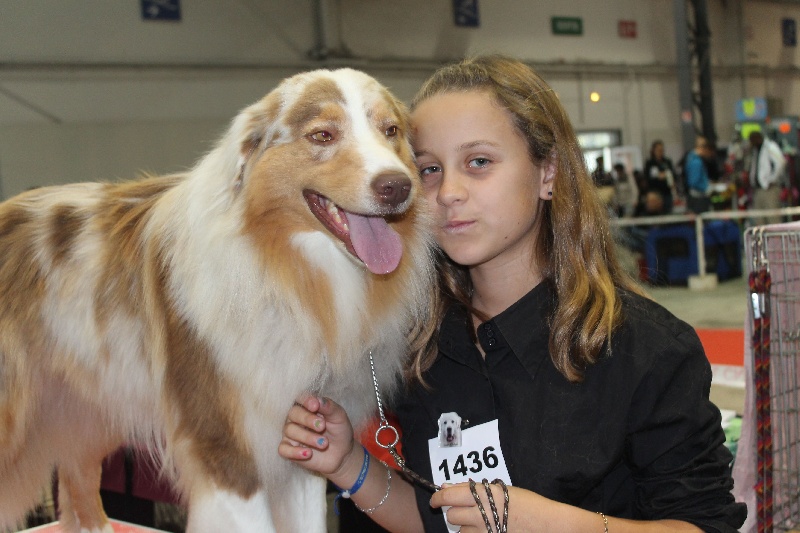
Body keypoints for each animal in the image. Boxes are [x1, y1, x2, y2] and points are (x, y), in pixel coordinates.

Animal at [0, 68, 432, 528]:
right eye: (322, 135)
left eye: (390, 131)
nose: (397, 186)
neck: (291, 272)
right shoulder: (225, 450)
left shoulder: (304, 449)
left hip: (83, 408)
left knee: (78, 481)